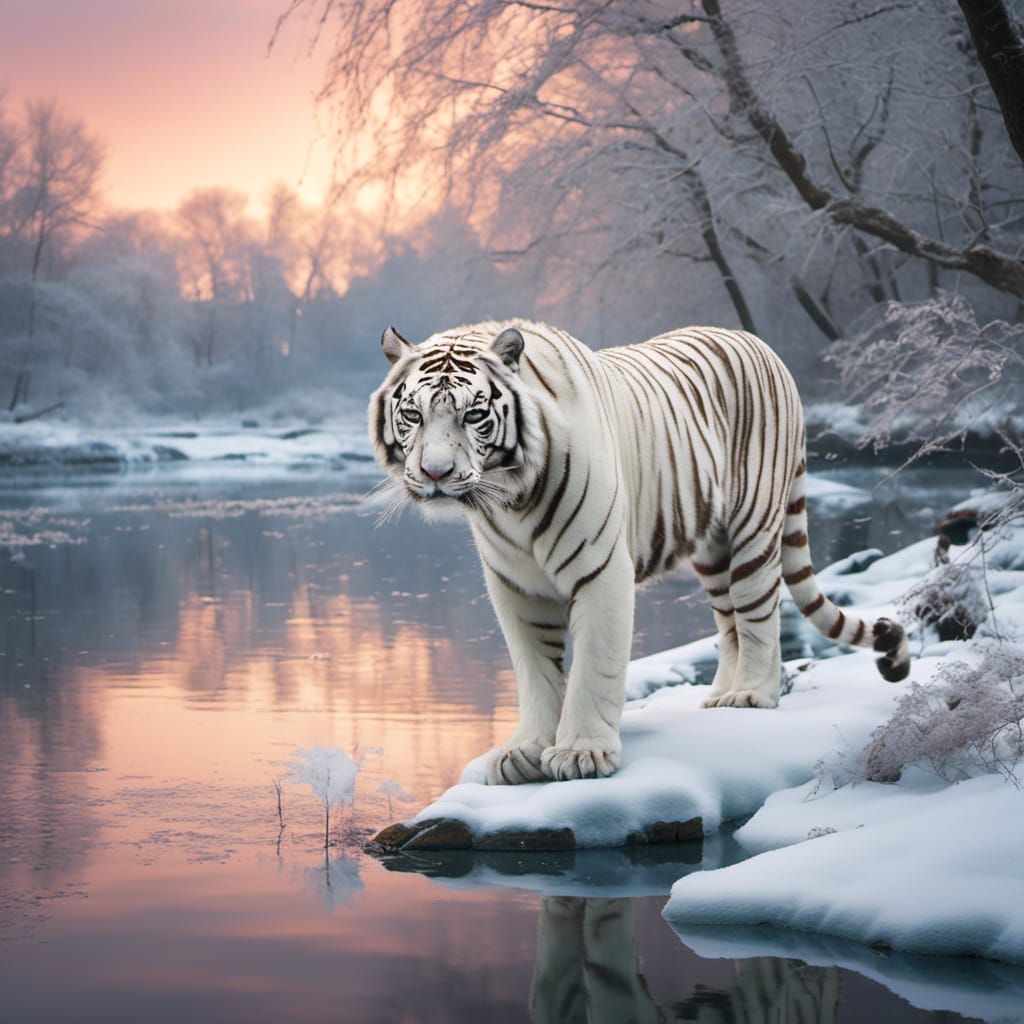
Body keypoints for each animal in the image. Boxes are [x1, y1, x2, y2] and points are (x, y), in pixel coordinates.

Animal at [368, 320, 910, 784]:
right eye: (413, 414)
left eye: (474, 414)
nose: (436, 473)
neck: (510, 499)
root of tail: (759, 343)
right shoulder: (515, 584)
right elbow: (535, 670)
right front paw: (526, 751)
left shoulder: (600, 569)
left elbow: (593, 664)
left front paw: (581, 752)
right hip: (712, 549)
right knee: (730, 624)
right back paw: (719, 697)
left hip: (753, 525)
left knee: (759, 615)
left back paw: (750, 695)